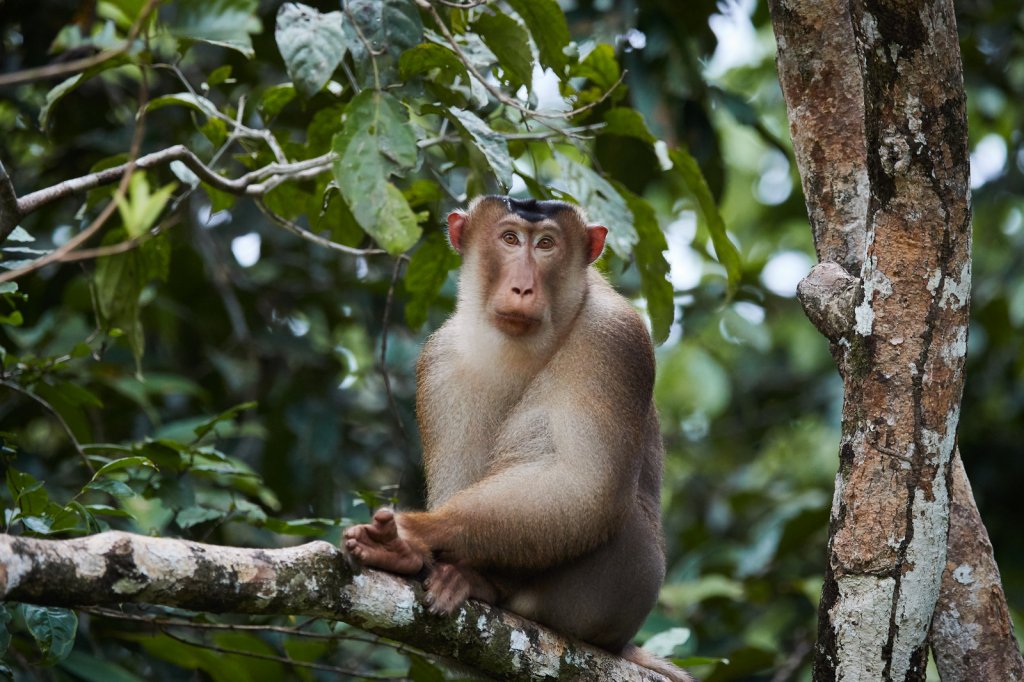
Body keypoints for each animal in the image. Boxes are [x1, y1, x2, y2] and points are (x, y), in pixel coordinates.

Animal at [344, 196, 693, 682]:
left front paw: (415, 534)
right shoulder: (441, 361)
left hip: (623, 584)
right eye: (510, 239)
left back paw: (486, 584)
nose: (523, 288)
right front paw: (409, 553)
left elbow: (586, 487)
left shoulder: (614, 337)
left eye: (545, 244)